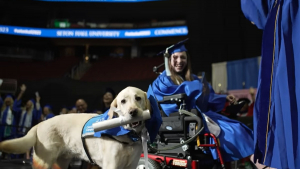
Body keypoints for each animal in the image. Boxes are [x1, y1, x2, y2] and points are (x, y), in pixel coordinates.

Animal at [0, 86, 150, 169]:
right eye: (123, 101)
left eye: (138, 98)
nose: (133, 112)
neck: (127, 136)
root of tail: (40, 123)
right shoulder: (111, 165)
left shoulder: (131, 165)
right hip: (44, 161)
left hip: (60, 163)